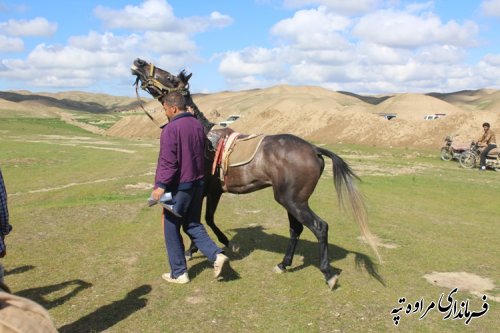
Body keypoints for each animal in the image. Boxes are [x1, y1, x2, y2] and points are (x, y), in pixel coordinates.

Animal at [131, 58, 380, 286]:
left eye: (171, 77)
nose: (139, 62)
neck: (204, 138)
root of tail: (313, 149)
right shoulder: (212, 192)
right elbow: (203, 220)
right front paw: (203, 247)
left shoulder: (204, 192)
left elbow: (201, 221)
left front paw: (218, 244)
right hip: (292, 201)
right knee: (296, 229)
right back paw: (284, 264)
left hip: (293, 201)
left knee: (319, 227)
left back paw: (327, 273)